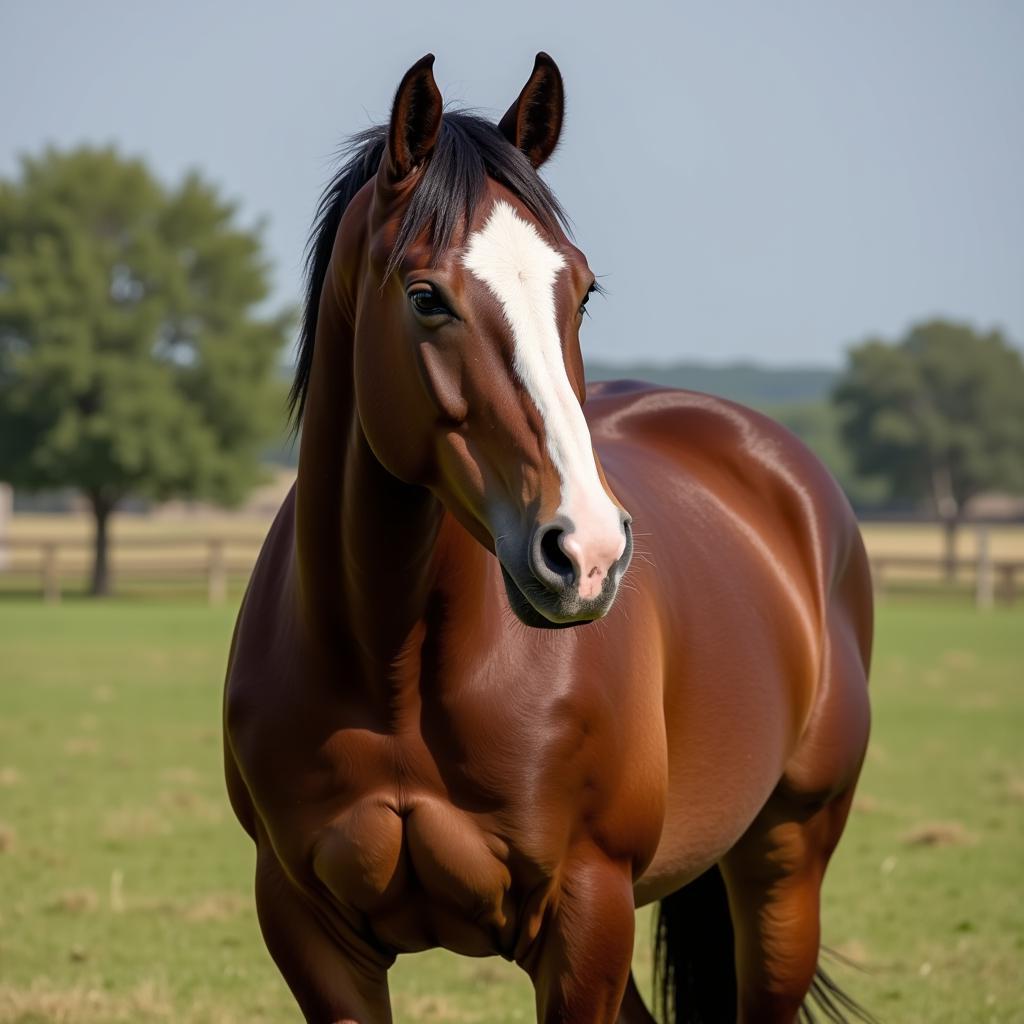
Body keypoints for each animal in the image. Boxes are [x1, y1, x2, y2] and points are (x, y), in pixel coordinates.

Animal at [222, 56, 872, 1024]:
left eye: (583, 289)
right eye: (426, 297)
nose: (587, 554)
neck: (394, 672)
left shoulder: (584, 916)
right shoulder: (311, 934)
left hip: (785, 864)